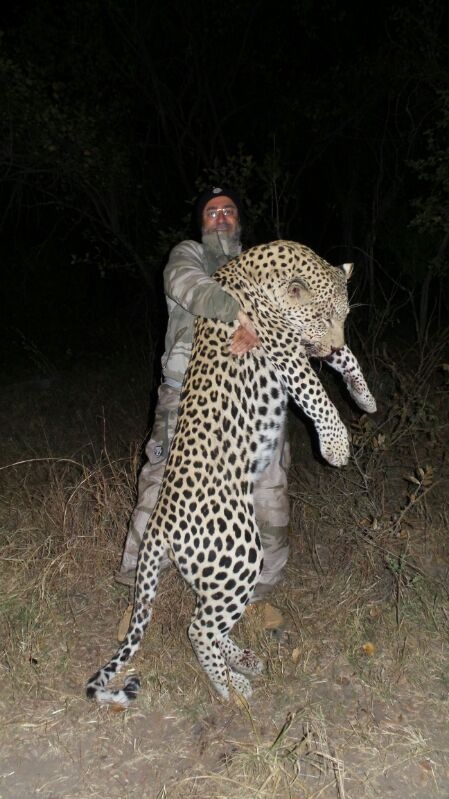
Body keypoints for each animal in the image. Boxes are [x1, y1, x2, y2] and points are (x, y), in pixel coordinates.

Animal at [86, 240, 376, 707]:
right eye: (321, 315)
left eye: (345, 315)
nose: (329, 345)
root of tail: (159, 523)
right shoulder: (282, 346)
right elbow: (314, 391)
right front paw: (336, 446)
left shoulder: (302, 344)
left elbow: (347, 359)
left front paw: (364, 397)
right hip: (239, 553)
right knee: (199, 628)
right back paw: (232, 687)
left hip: (221, 570)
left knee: (208, 618)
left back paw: (242, 660)